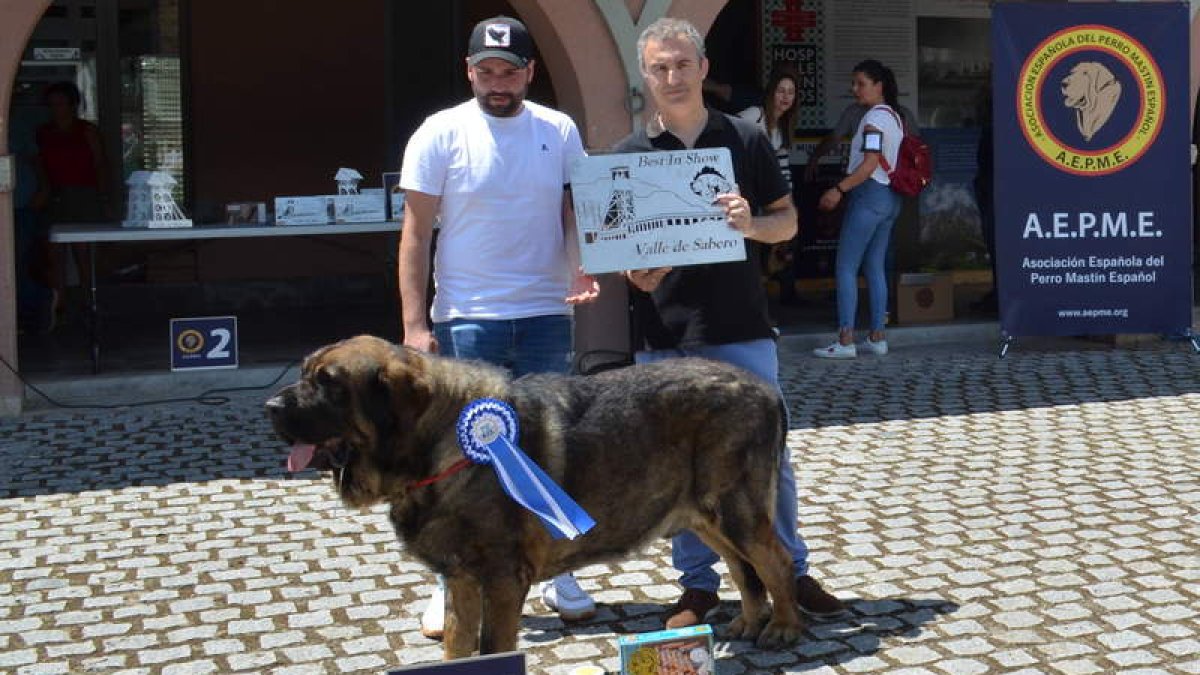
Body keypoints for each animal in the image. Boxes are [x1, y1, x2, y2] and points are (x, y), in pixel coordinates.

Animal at [267, 336, 801, 658]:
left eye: (329, 384)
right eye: (306, 373)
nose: (271, 405)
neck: (442, 443)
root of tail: (766, 389)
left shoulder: (502, 578)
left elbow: (493, 645)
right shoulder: (462, 578)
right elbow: (458, 642)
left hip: (734, 508)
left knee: (775, 561)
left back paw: (783, 627)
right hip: (706, 516)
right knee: (743, 569)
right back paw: (748, 622)